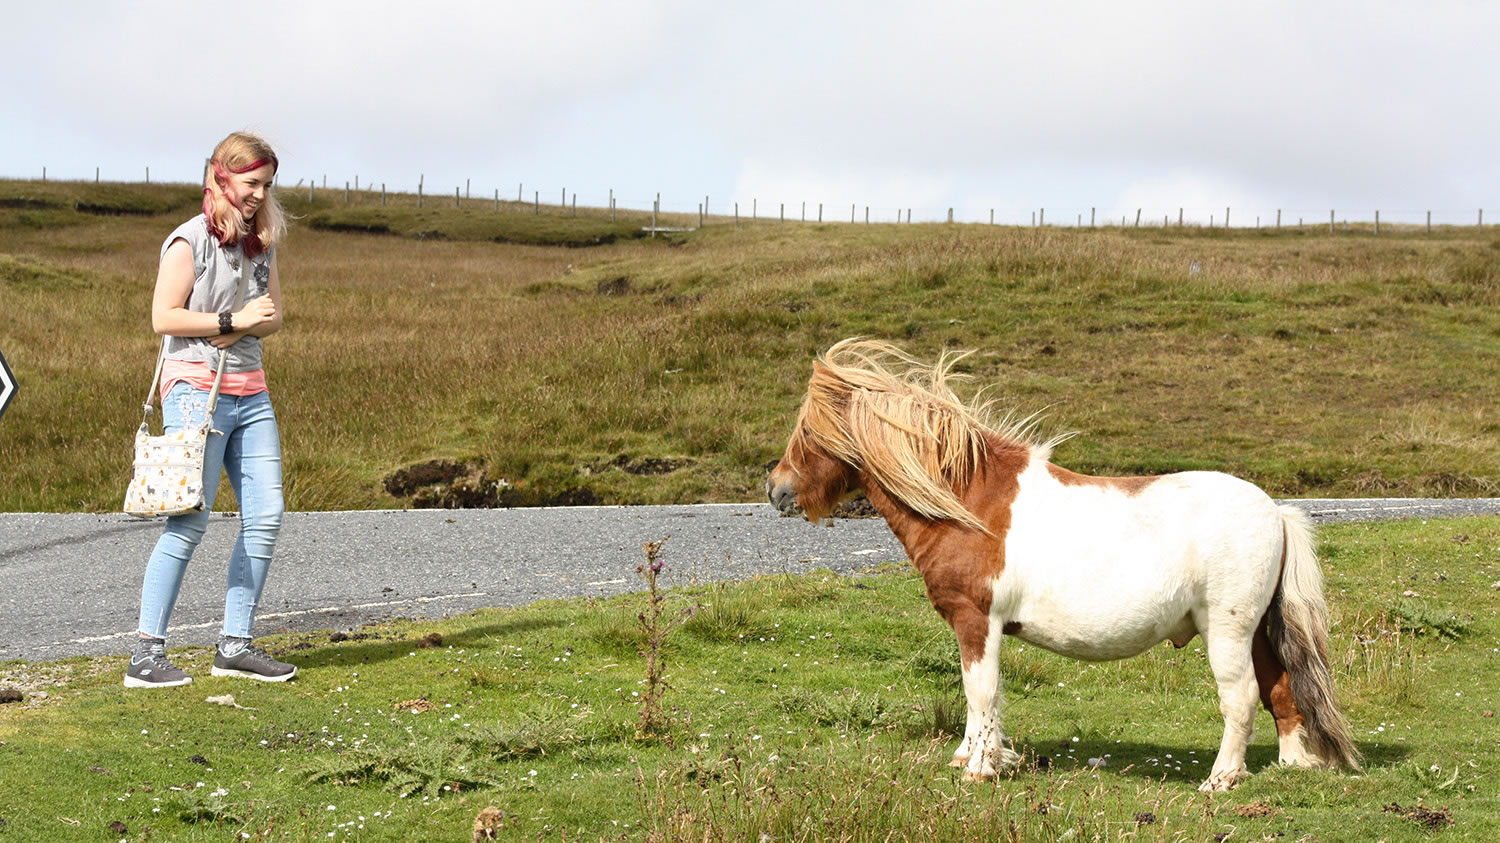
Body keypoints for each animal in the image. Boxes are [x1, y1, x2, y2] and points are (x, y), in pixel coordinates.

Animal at [768, 334, 1368, 786]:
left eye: (807, 431)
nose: (775, 489)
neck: (969, 502)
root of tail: (1275, 511)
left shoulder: (975, 621)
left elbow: (979, 691)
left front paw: (980, 768)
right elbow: (982, 698)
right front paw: (972, 757)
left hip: (1227, 630)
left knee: (1241, 697)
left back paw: (1220, 779)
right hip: (1258, 629)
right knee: (1279, 687)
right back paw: (1292, 765)